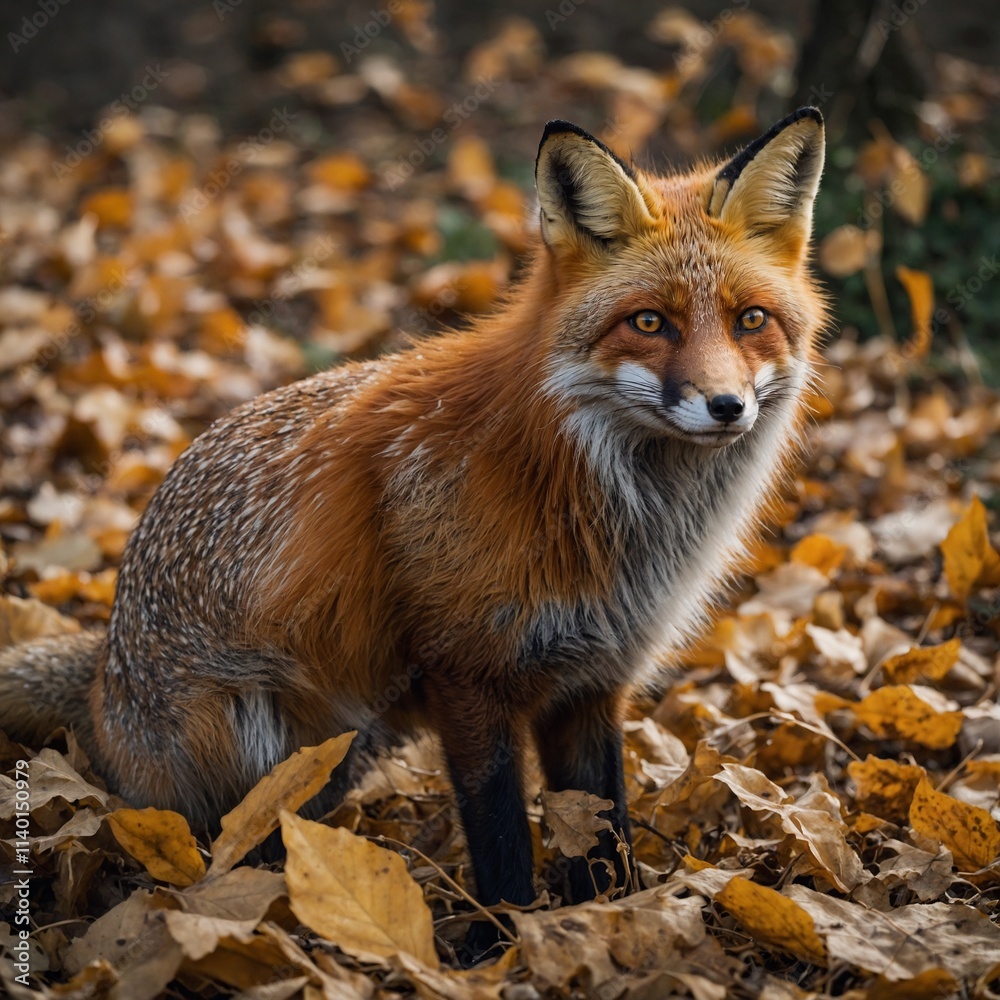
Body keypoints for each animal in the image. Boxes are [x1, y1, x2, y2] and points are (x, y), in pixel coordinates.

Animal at [0, 108, 826, 934]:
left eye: (751, 320)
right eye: (650, 322)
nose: (727, 406)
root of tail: (106, 667)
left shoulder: (593, 679)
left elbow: (603, 833)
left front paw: (609, 920)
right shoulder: (466, 671)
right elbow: (501, 838)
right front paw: (503, 940)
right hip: (265, 736)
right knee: (222, 836)